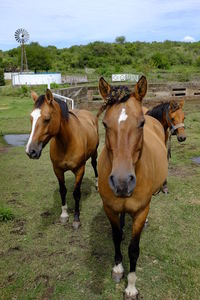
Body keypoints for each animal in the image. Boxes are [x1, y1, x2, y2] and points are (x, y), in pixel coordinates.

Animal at [25, 88, 99, 227]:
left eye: (47, 119)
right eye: (31, 118)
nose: (30, 151)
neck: (67, 142)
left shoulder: (80, 170)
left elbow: (76, 193)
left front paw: (76, 219)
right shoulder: (57, 170)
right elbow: (63, 190)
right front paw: (64, 215)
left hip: (94, 153)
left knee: (94, 165)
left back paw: (97, 184)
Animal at [97, 76, 168, 298]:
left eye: (141, 123)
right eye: (104, 124)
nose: (122, 182)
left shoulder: (140, 210)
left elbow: (134, 249)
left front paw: (130, 287)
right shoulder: (109, 208)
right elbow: (116, 236)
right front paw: (118, 269)